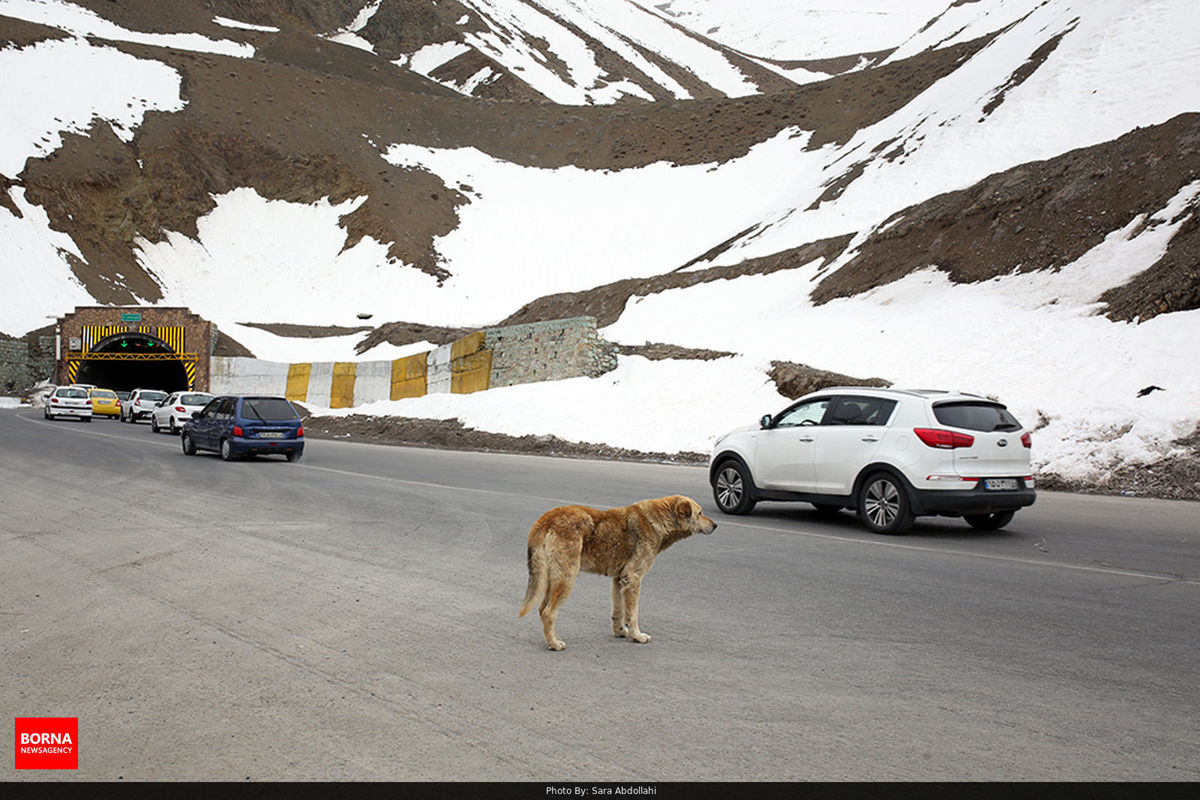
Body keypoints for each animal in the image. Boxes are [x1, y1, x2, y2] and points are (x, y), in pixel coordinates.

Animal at [516, 494, 710, 652]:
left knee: (542, 609)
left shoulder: (619, 580)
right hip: (566, 579)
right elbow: (633, 614)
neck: (658, 520)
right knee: (549, 612)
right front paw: (637, 636)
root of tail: (546, 518)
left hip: (553, 579)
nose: (714, 525)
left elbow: (619, 611)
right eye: (700, 513)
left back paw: (553, 639)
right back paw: (554, 644)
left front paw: (620, 631)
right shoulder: (633, 579)